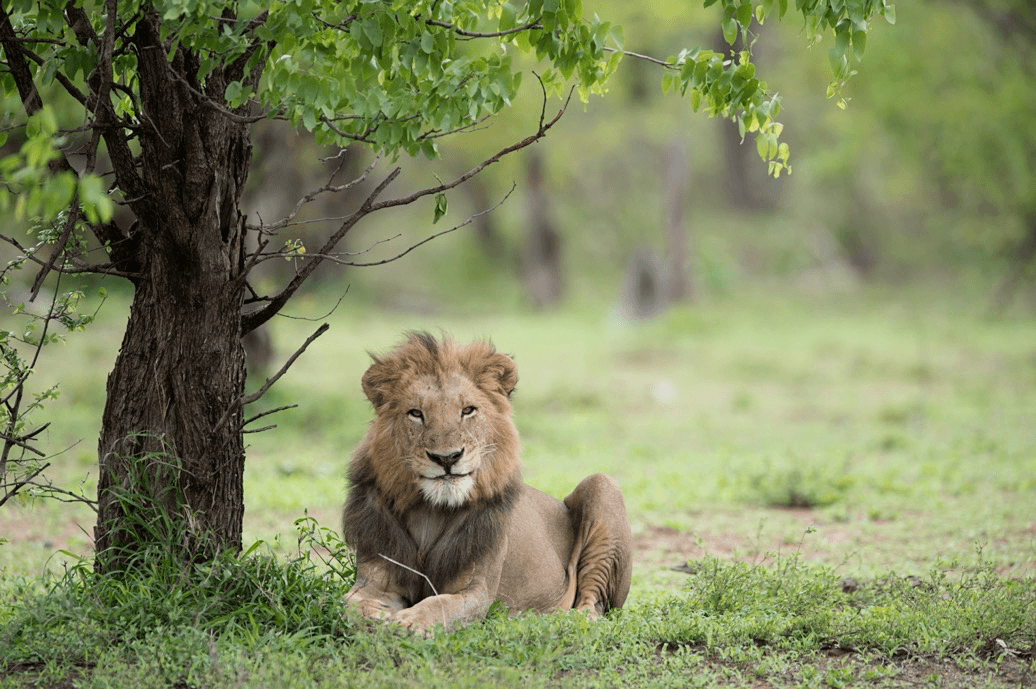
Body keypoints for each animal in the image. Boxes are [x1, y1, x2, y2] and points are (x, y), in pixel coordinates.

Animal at [342, 332, 632, 634]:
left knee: (594, 601)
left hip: (603, 485)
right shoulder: (376, 578)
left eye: (468, 410)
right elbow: (351, 604)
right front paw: (376, 621)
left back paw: (570, 619)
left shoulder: (476, 590)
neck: (431, 511)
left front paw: (410, 622)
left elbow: (439, 604)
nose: (447, 457)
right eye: (416, 413)